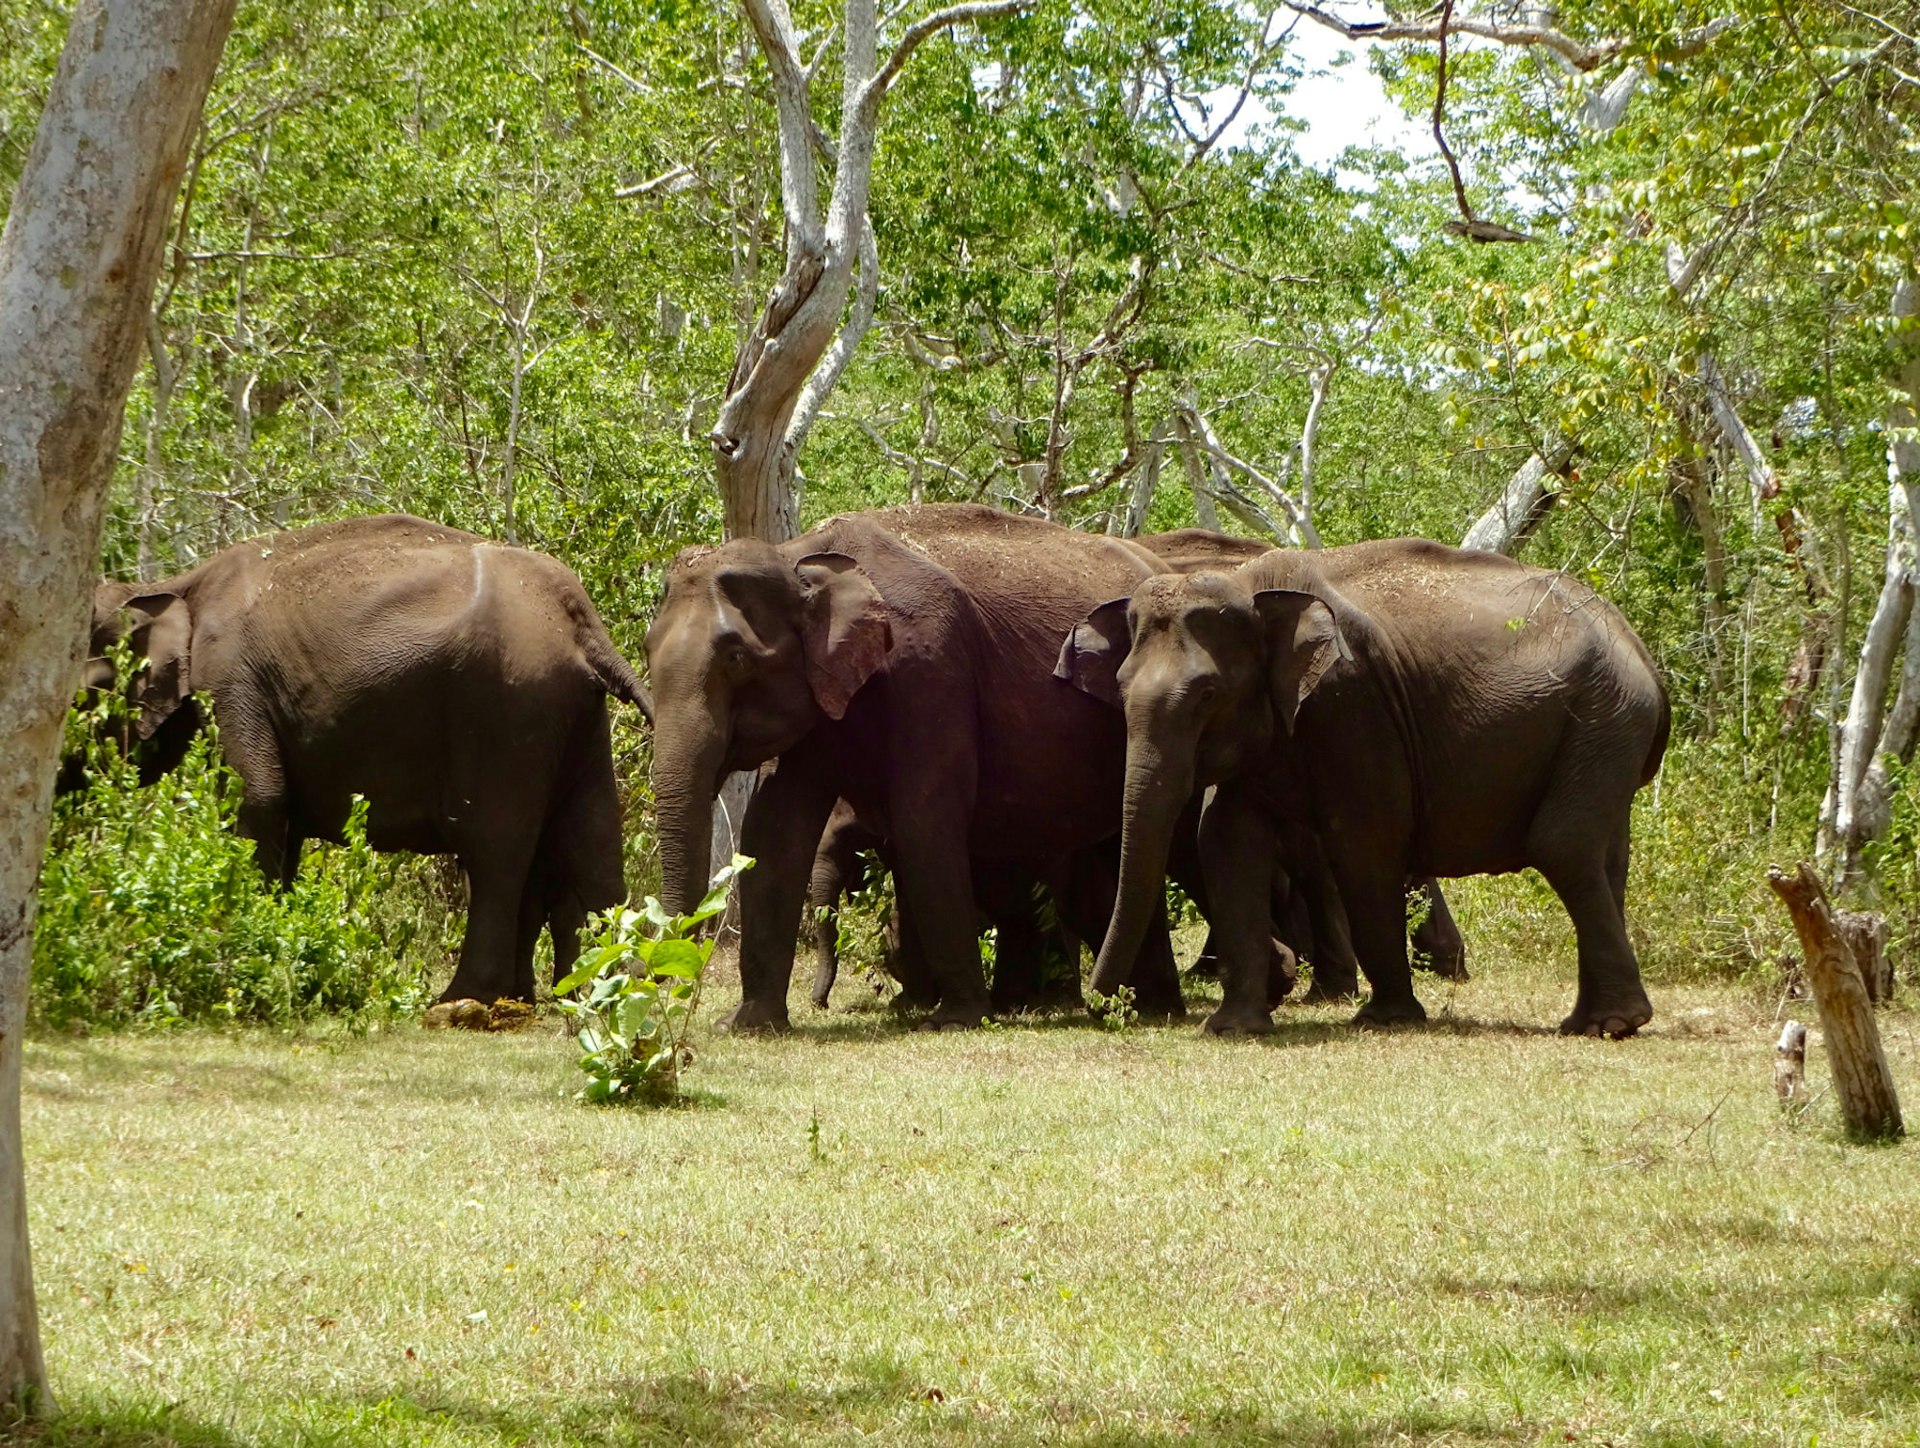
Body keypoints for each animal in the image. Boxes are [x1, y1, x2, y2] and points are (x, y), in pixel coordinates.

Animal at [78, 510, 648, 1006]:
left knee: (495, 849)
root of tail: (582, 622)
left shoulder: (228, 682)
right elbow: (283, 823)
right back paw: (608, 992)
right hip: (573, 715)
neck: (177, 586)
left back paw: (464, 999)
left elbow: (256, 801)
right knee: (591, 837)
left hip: (507, 706)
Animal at [648, 503, 1182, 1029]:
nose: (663, 982)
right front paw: (747, 1024)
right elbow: (775, 830)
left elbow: (925, 817)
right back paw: (1145, 1005)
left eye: (737, 658)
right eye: (644, 650)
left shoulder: (928, 664)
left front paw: (954, 1020)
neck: (799, 557)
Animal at [1059, 537, 1674, 1029]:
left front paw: (1387, 1019)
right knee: (1603, 857)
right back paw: (1590, 1022)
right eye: (1119, 686)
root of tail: (1638, 647)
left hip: (1603, 715)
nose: (1102, 1004)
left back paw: (1613, 1025)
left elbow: (1364, 841)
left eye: (1208, 695)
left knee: (1563, 845)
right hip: (1607, 730)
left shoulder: (1353, 702)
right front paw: (1233, 1027)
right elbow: (1227, 842)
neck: (1254, 588)